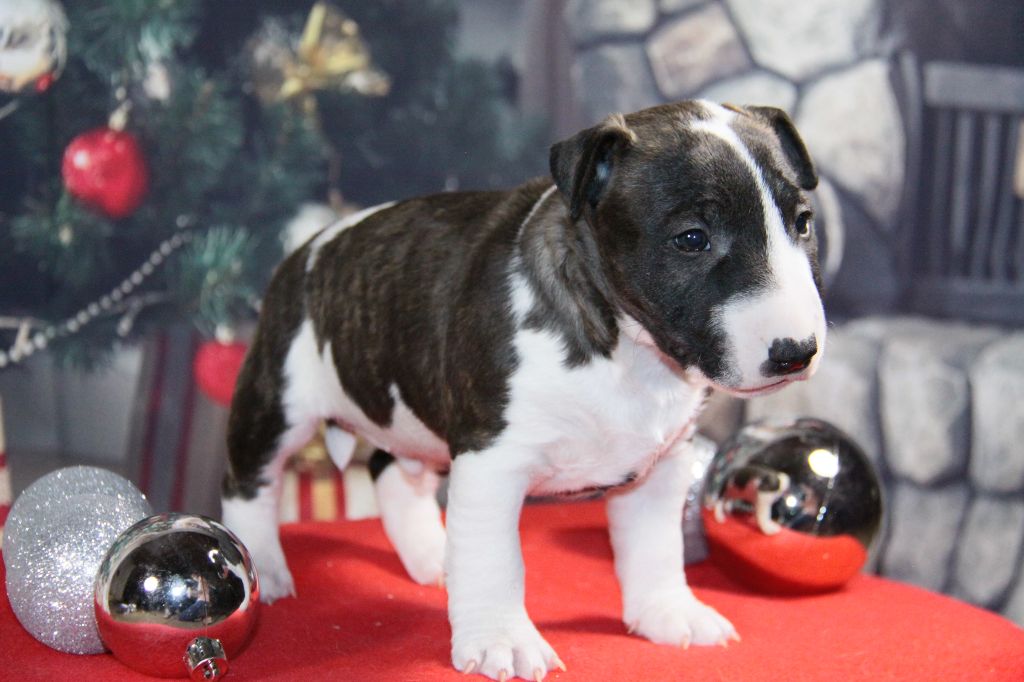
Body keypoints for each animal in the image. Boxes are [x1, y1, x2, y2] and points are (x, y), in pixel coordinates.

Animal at [221, 100, 826, 681]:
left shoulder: (662, 466)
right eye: (692, 239)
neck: (627, 350)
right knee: (248, 480)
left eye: (802, 223)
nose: (797, 352)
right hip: (278, 399)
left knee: (390, 471)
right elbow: (496, 560)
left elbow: (657, 548)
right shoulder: (491, 460)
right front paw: (502, 642)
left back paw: (434, 556)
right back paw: (264, 565)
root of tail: (312, 246)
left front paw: (668, 613)